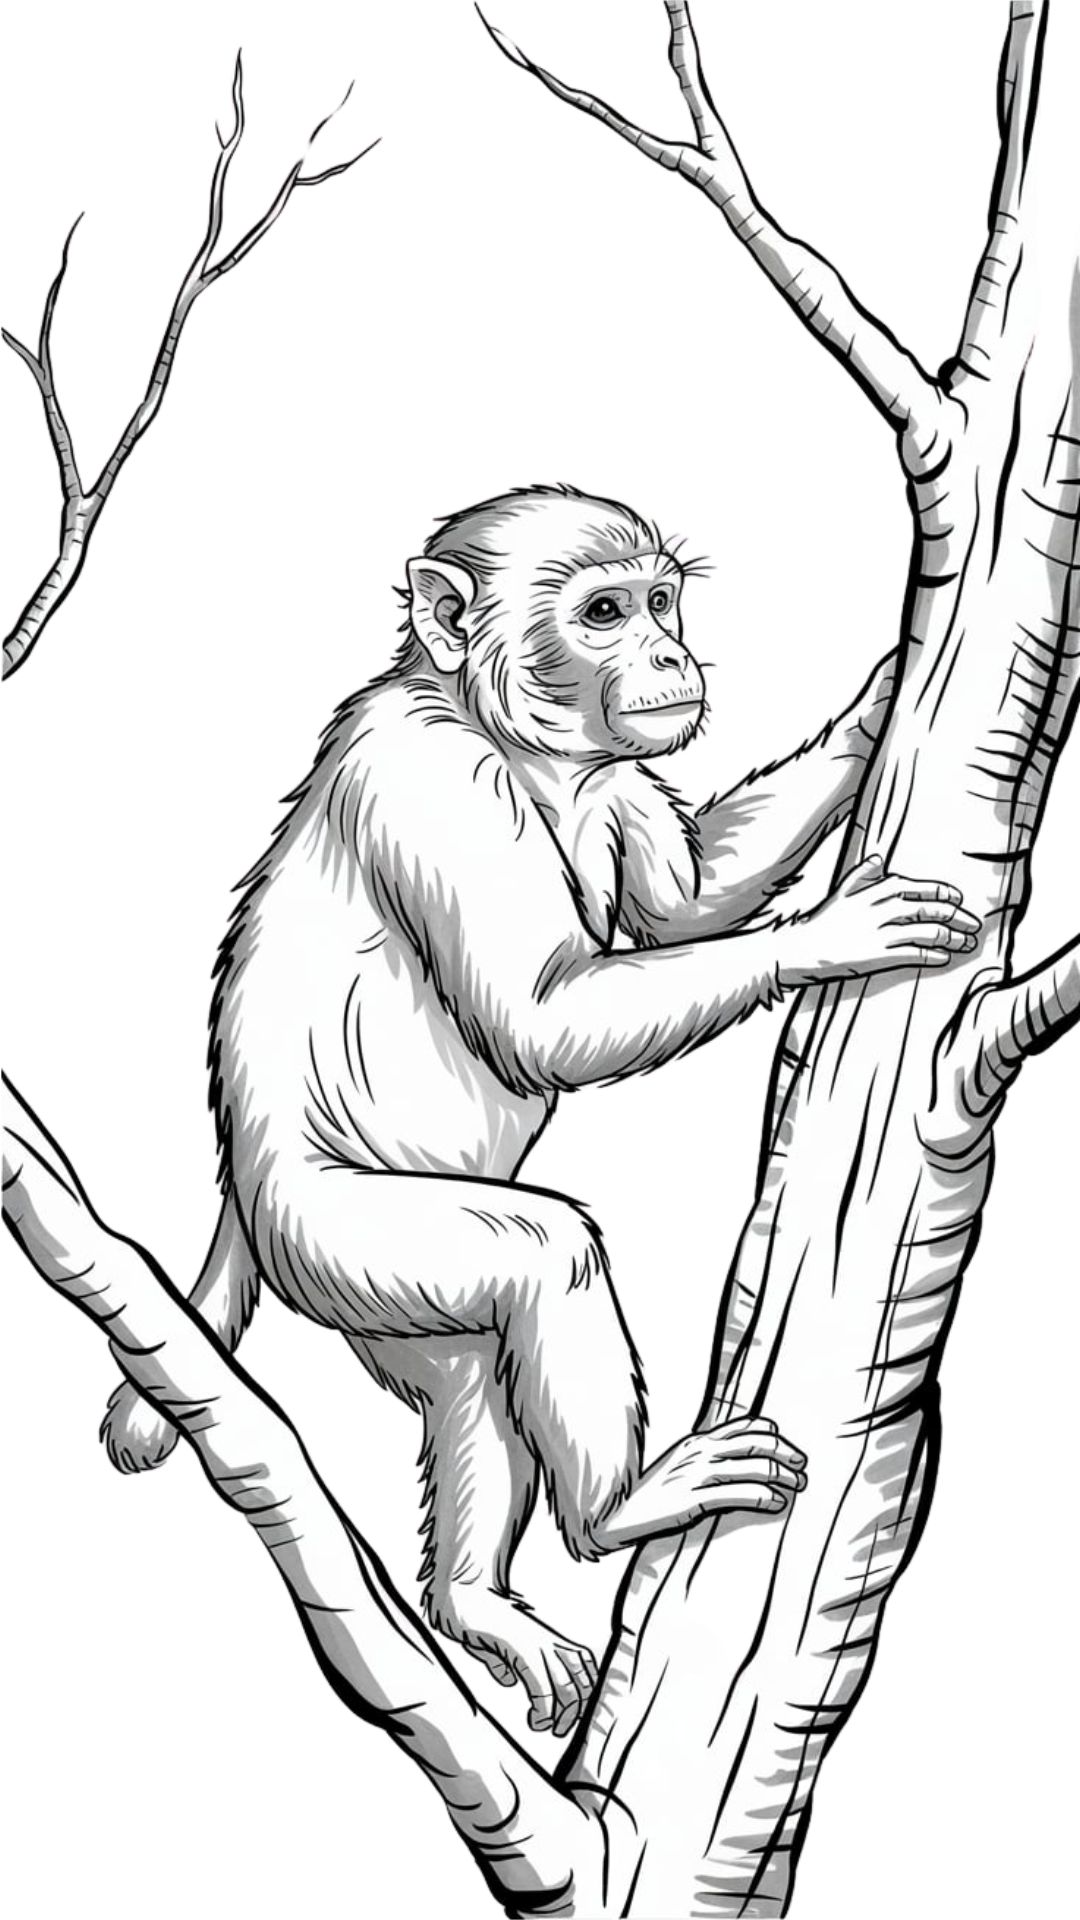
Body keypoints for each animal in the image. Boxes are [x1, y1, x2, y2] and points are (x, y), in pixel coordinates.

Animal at [102, 485, 980, 1736]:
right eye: (605, 612)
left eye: (661, 601)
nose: (667, 652)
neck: (517, 745)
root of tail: (238, 1196)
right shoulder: (438, 787)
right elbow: (539, 1023)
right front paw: (825, 937)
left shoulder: (612, 781)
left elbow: (684, 906)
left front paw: (874, 700)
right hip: (337, 1237)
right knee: (544, 1257)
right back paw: (619, 1509)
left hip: (383, 1301)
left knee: (471, 1380)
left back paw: (473, 1600)